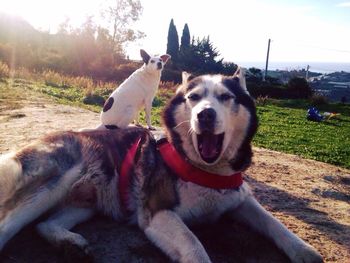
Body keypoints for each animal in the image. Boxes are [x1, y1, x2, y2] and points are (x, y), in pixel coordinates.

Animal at [0, 69, 322, 262]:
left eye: (225, 97)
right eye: (194, 97)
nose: (205, 115)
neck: (205, 170)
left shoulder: (240, 199)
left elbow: (275, 224)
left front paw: (305, 252)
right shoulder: (157, 213)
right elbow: (193, 244)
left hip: (87, 202)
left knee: (45, 223)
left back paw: (69, 243)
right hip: (56, 182)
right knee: (9, 223)